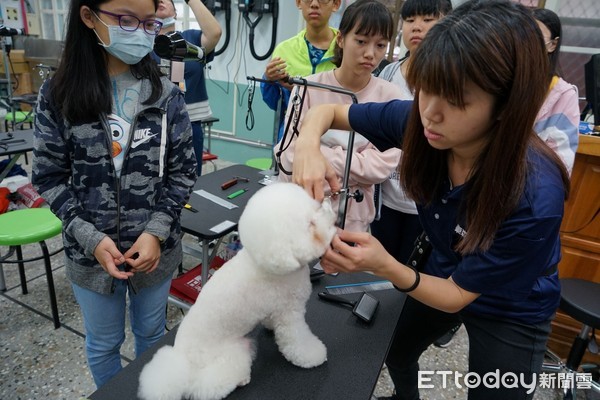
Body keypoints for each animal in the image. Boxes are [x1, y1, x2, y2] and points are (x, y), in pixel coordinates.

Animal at [139, 183, 338, 400]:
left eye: (314, 206)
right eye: (310, 224)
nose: (329, 203)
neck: (272, 264)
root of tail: (181, 360)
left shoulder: (276, 309)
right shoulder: (290, 314)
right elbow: (298, 340)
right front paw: (313, 354)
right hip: (232, 352)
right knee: (204, 386)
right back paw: (239, 380)